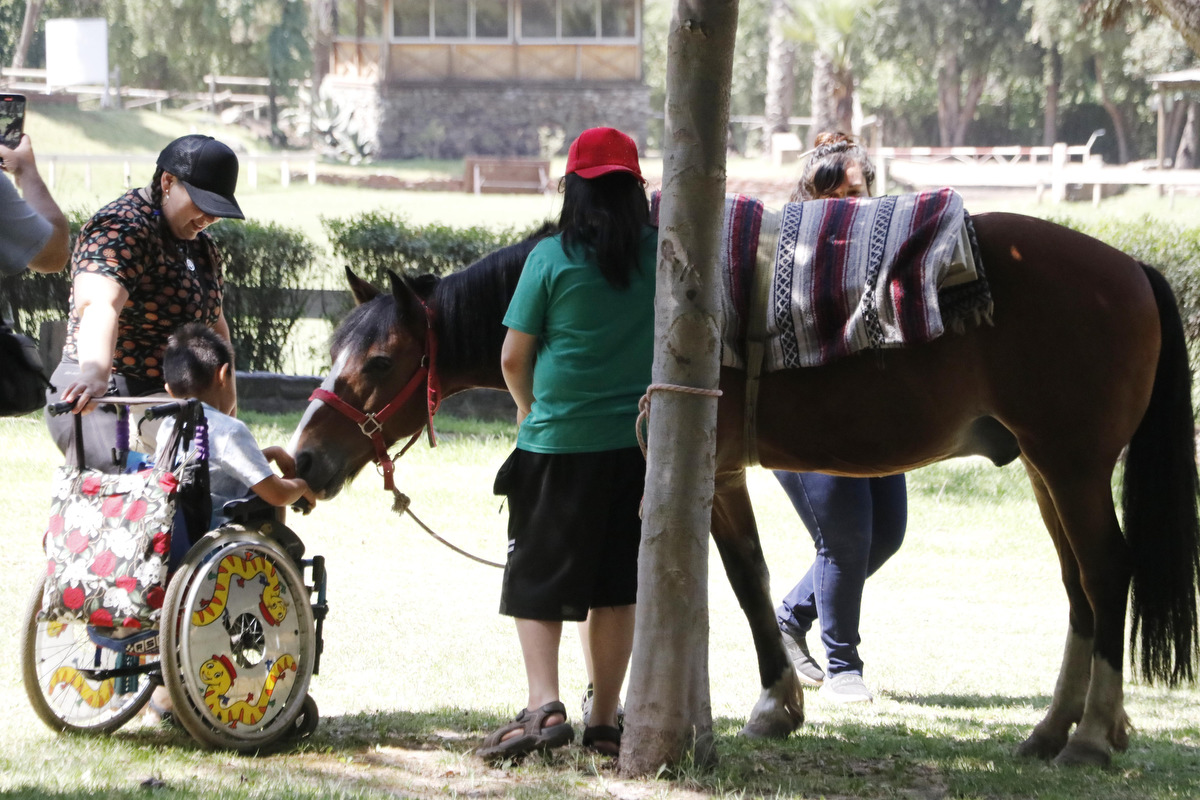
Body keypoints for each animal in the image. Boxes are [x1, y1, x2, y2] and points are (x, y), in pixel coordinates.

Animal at [285, 208, 1195, 767]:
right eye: (335, 348)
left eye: (380, 361)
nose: (304, 460)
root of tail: (1129, 267)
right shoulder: (714, 477)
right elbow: (744, 577)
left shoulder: (695, 472)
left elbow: (735, 582)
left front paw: (763, 705)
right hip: (1048, 468)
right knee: (1080, 589)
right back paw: (1055, 729)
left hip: (1072, 466)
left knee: (1106, 574)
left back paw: (1089, 735)